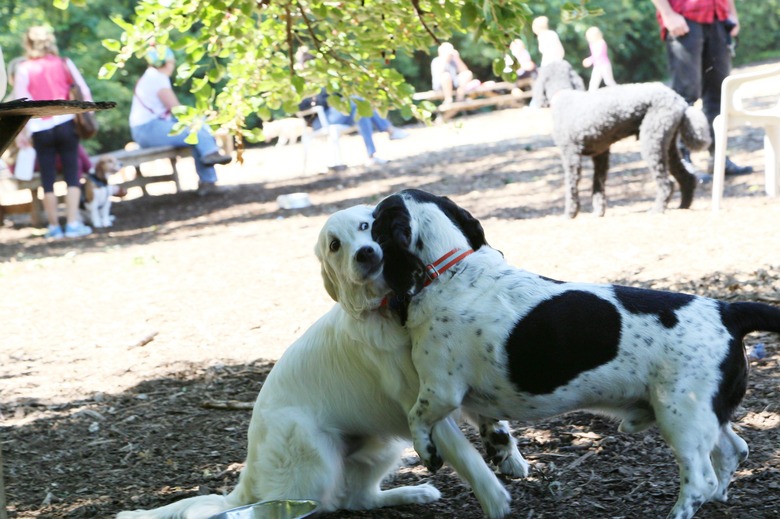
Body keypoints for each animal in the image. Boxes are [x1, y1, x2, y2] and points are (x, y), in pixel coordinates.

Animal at [116, 205, 528, 519]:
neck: (389, 310)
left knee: (358, 499)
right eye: (334, 246)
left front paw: (509, 454)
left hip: (380, 445)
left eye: (366, 227)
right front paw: (496, 500)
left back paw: (413, 493)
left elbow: (490, 418)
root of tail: (249, 467)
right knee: (287, 508)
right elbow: (466, 456)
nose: (364, 253)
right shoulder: (425, 402)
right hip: (313, 460)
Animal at [372, 189, 780, 519]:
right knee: (734, 451)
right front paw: (502, 455)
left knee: (699, 480)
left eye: (374, 222)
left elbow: (417, 420)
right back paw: (721, 495)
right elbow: (492, 427)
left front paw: (428, 454)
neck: (451, 270)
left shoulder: (440, 392)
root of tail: (728, 311)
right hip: (707, 416)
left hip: (682, 419)